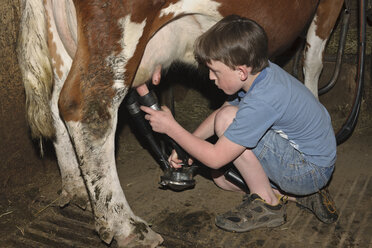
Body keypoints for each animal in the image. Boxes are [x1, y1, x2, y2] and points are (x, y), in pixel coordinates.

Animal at [17, 0, 342, 247]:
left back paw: (77, 190)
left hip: (62, 41)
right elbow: (313, 61)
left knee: (56, 103)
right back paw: (127, 227)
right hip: (117, 34)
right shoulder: (328, 5)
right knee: (89, 109)